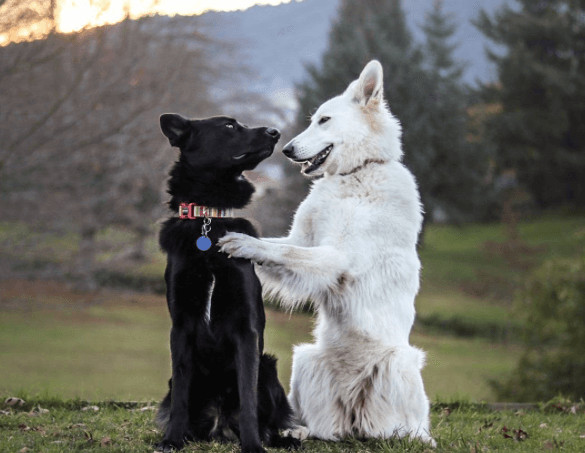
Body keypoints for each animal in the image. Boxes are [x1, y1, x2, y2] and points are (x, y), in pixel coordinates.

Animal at [155, 114, 298, 452]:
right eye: (229, 126)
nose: (275, 132)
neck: (209, 220)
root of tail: (220, 425)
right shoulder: (181, 327)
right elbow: (181, 396)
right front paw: (172, 439)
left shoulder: (246, 330)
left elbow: (247, 397)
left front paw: (253, 445)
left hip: (268, 369)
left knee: (268, 420)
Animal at [219, 60, 434, 444]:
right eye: (313, 119)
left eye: (324, 120)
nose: (286, 149)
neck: (355, 173)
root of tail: (353, 417)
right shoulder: (303, 239)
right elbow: (280, 249)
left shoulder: (337, 258)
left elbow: (289, 255)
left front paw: (245, 243)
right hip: (305, 360)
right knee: (319, 426)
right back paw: (299, 430)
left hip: (399, 363)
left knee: (402, 428)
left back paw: (402, 436)